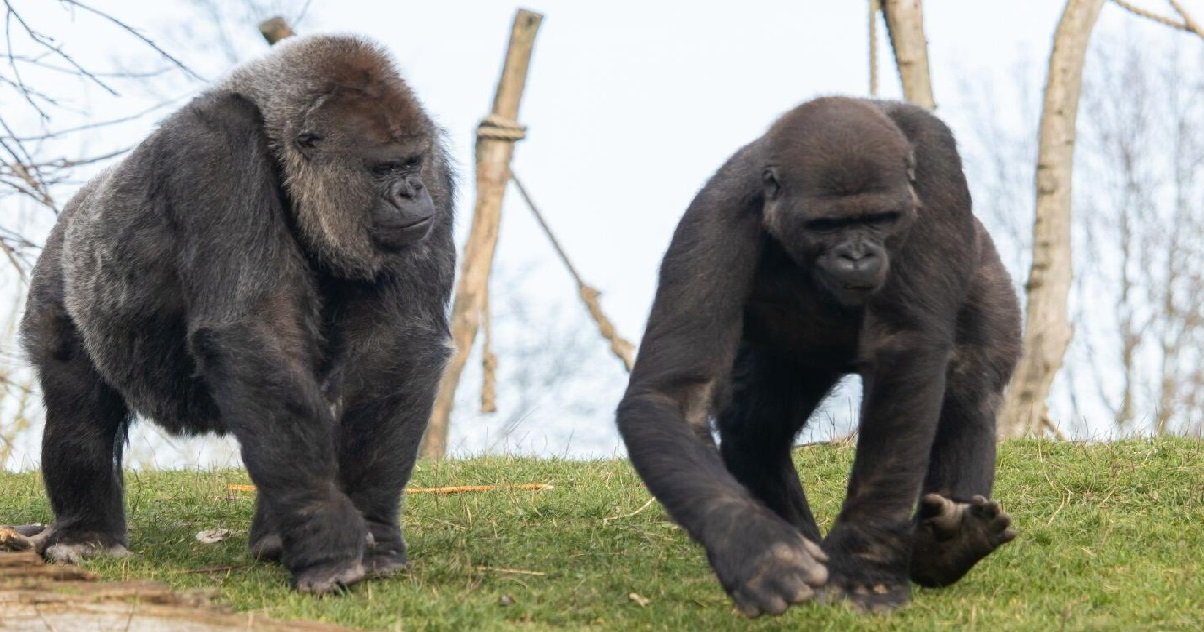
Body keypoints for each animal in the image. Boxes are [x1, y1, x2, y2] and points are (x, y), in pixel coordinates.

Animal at [18, 35, 455, 592]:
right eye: (383, 168)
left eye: (411, 163)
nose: (410, 192)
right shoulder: (215, 149)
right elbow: (253, 328)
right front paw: (326, 531)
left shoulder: (436, 169)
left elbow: (395, 344)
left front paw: (372, 526)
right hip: (62, 275)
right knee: (78, 408)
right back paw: (85, 536)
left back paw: (272, 538)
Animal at [616, 96, 1020, 613]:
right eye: (825, 225)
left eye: (880, 218)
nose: (856, 256)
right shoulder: (712, 223)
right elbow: (676, 396)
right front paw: (755, 547)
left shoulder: (936, 163)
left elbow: (906, 349)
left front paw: (867, 564)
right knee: (755, 428)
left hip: (988, 272)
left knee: (968, 386)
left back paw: (946, 544)